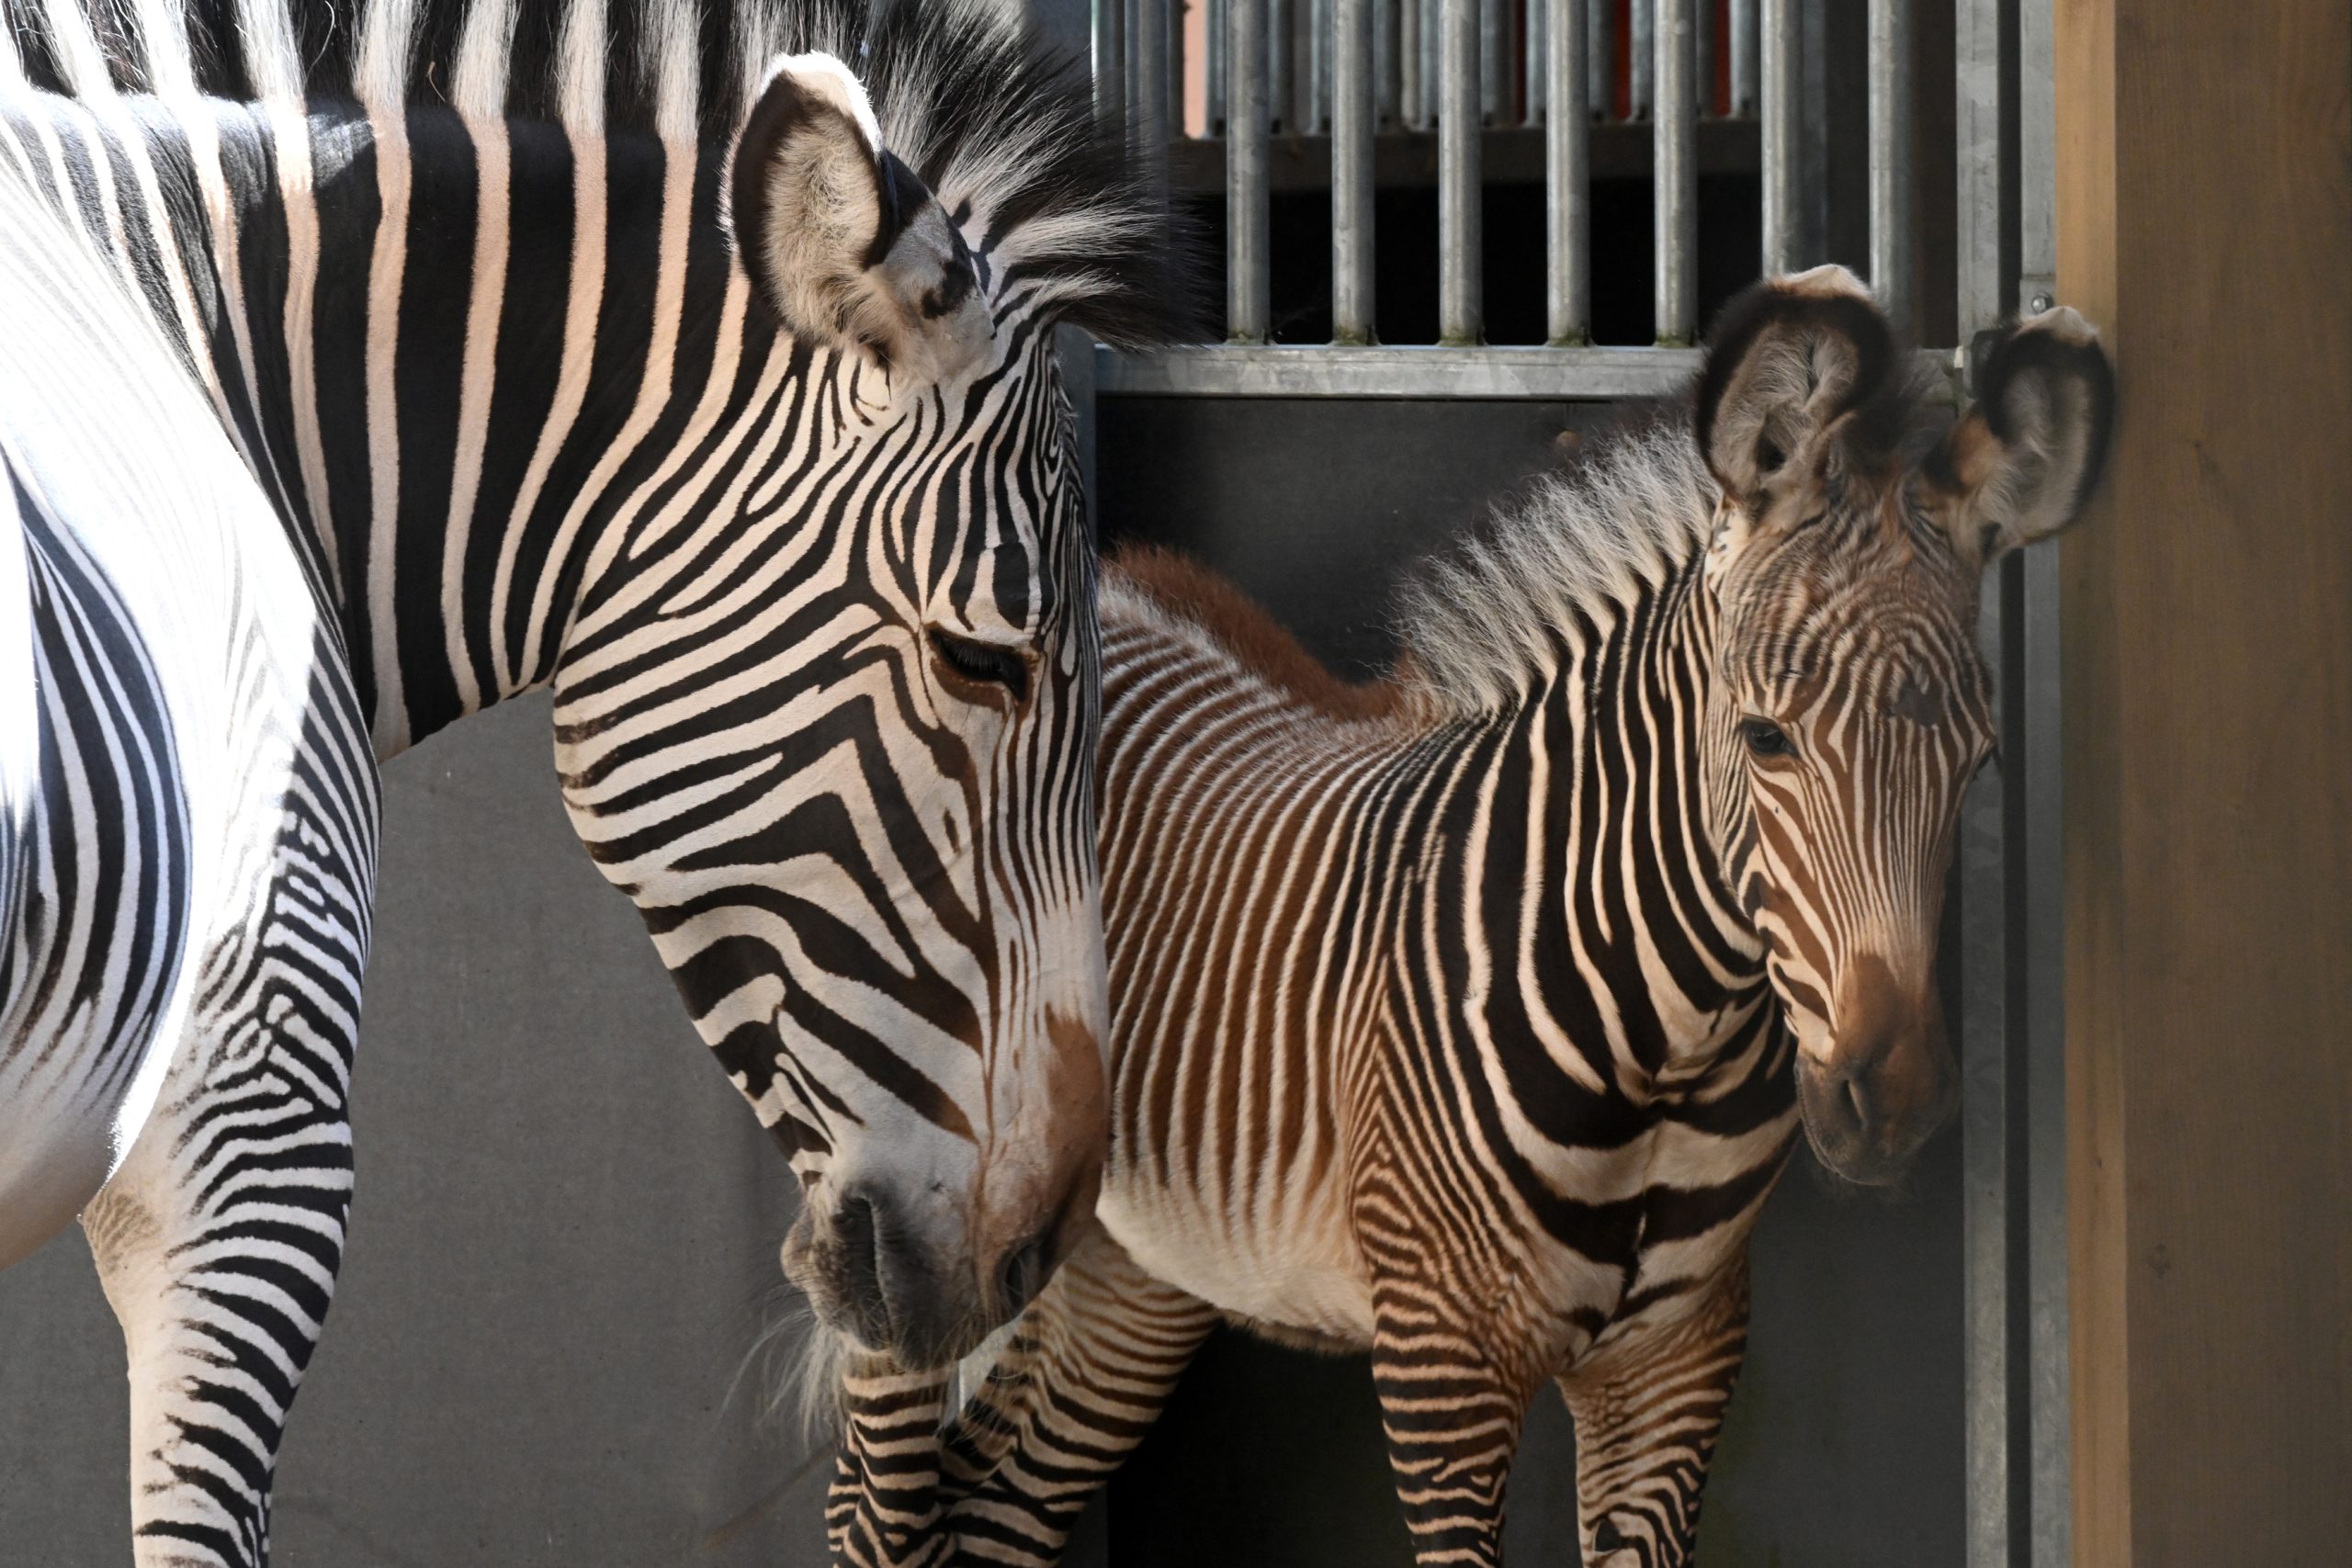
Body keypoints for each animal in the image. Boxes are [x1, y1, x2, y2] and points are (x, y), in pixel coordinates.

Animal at [823, 270, 2117, 1568]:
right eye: (1766, 740)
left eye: (1981, 761)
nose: (1892, 1102)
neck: (1666, 1039)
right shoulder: (1442, 1361)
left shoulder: (1678, 1359)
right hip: (898, 1193)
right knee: (870, 1508)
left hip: (1128, 1256)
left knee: (995, 1504)